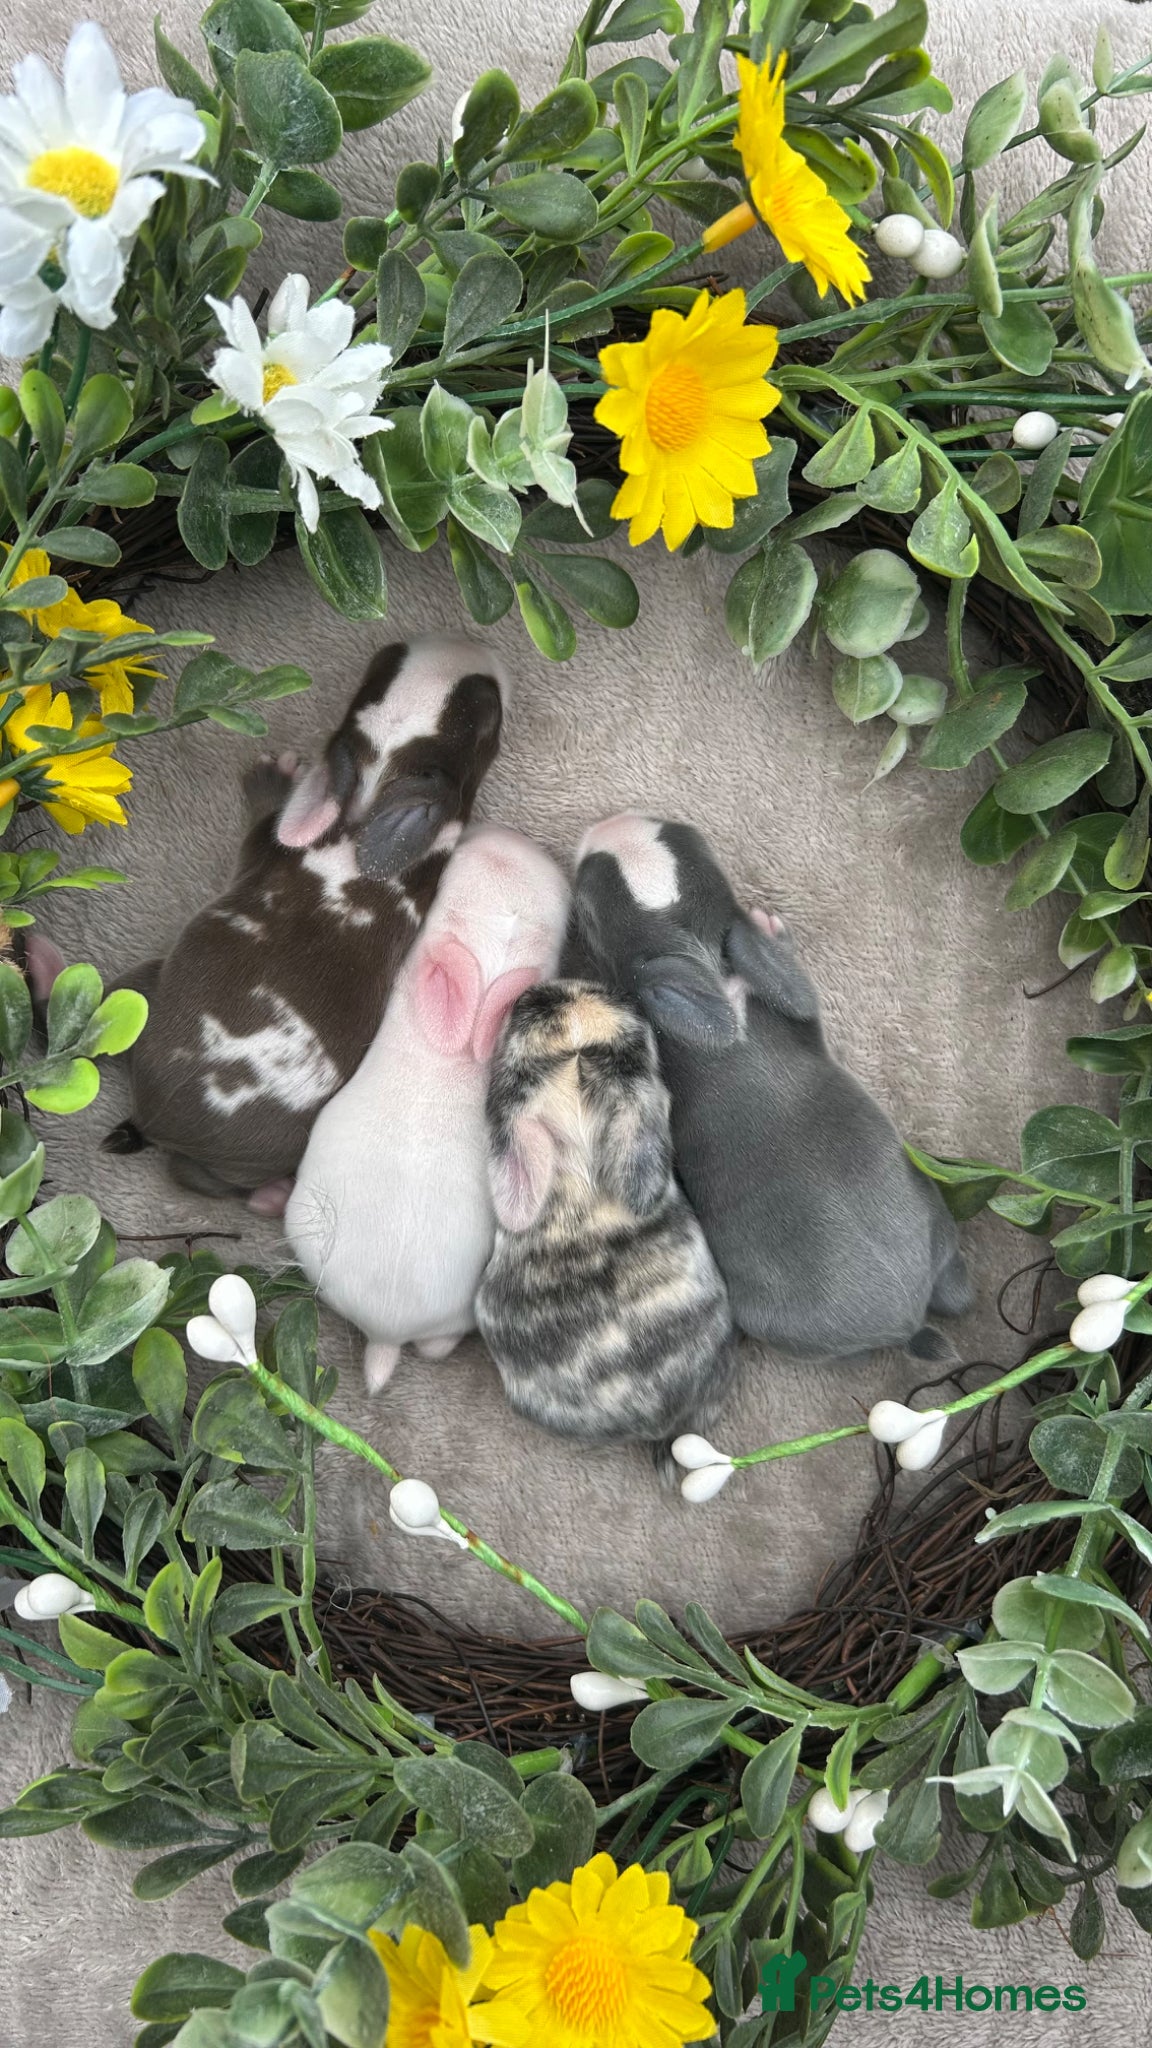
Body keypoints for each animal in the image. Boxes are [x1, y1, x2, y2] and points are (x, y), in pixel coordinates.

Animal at [107, 636, 507, 1214]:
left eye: (489, 719)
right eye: (385, 665)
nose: (469, 643)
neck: (363, 817)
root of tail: (153, 1122)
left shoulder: (259, 847)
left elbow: (265, 815)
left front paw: (273, 775)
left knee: (193, 1177)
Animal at [563, 814, 973, 1360]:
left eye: (585, 911)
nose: (612, 822)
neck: (716, 974)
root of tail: (908, 1323)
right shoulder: (790, 996)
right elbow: (793, 985)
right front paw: (768, 930)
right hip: (937, 1215)